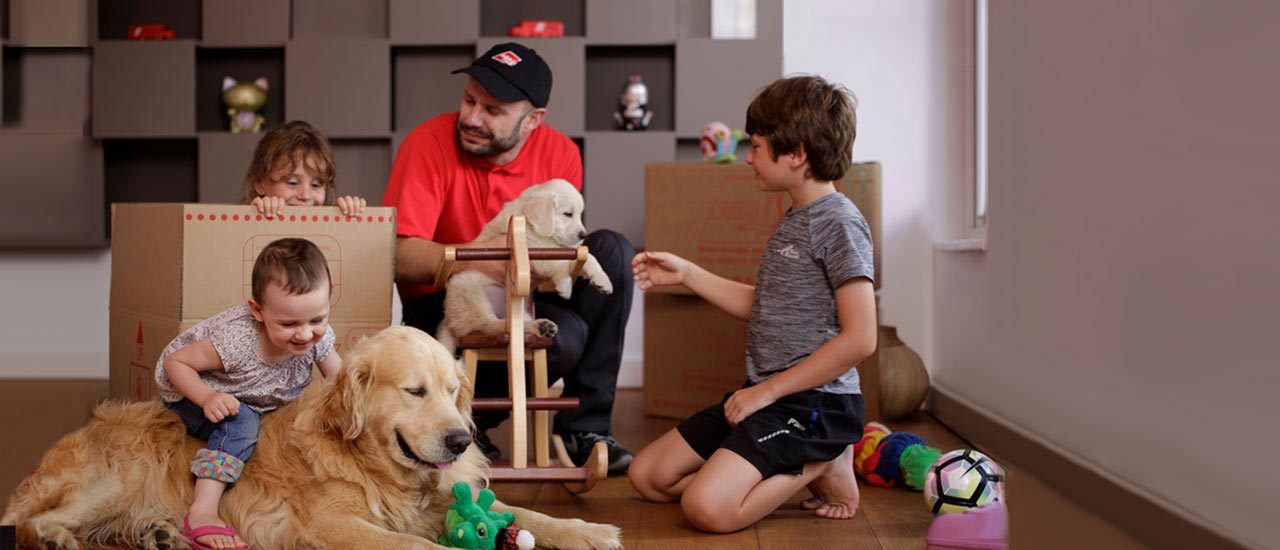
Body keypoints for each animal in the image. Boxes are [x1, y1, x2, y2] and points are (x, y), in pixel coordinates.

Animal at [2, 326, 622, 550]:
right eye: (415, 391)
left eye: (454, 392)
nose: (460, 441)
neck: (378, 469)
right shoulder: (332, 525)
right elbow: (418, 547)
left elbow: (530, 512)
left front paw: (589, 531)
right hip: (117, 479)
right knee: (34, 523)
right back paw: (58, 539)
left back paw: (161, 535)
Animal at [437, 179, 613, 353]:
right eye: (568, 214)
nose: (583, 235)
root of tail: (447, 319)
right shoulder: (535, 253)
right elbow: (560, 264)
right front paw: (565, 285)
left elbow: (588, 258)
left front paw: (602, 281)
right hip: (469, 293)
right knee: (494, 326)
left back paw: (541, 326)